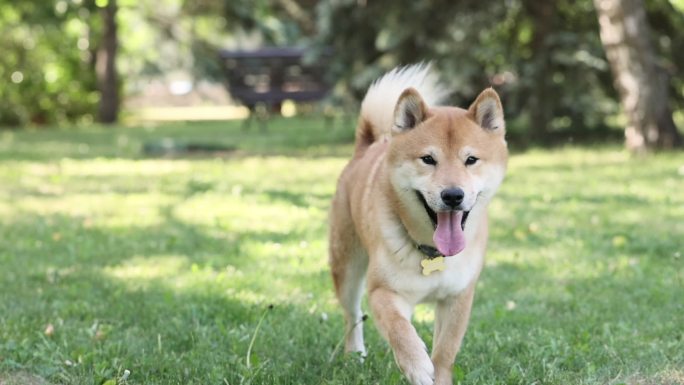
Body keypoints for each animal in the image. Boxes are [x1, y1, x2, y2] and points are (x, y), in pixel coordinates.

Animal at [328, 63, 510, 384]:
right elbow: (400, 332)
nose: (453, 195)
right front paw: (417, 366)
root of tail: (366, 148)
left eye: (471, 160)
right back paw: (355, 355)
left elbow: (445, 352)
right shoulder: (383, 292)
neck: (433, 254)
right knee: (353, 315)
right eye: (428, 159)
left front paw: (438, 374)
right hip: (347, 268)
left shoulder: (458, 298)